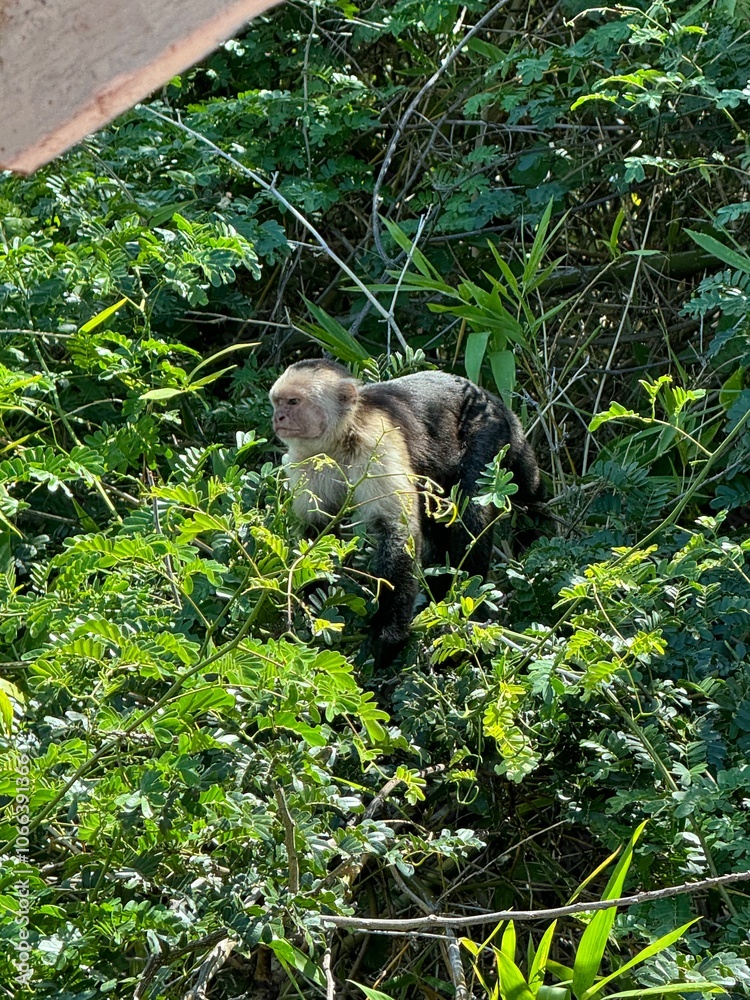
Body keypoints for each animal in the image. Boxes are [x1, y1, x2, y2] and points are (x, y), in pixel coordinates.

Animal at [269, 359, 543, 665]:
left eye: (294, 402)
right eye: (277, 402)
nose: (279, 418)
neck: (340, 440)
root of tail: (492, 399)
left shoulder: (375, 443)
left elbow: (397, 531)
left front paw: (388, 634)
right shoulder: (306, 460)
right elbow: (316, 531)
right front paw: (314, 596)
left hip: (487, 429)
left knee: (473, 507)